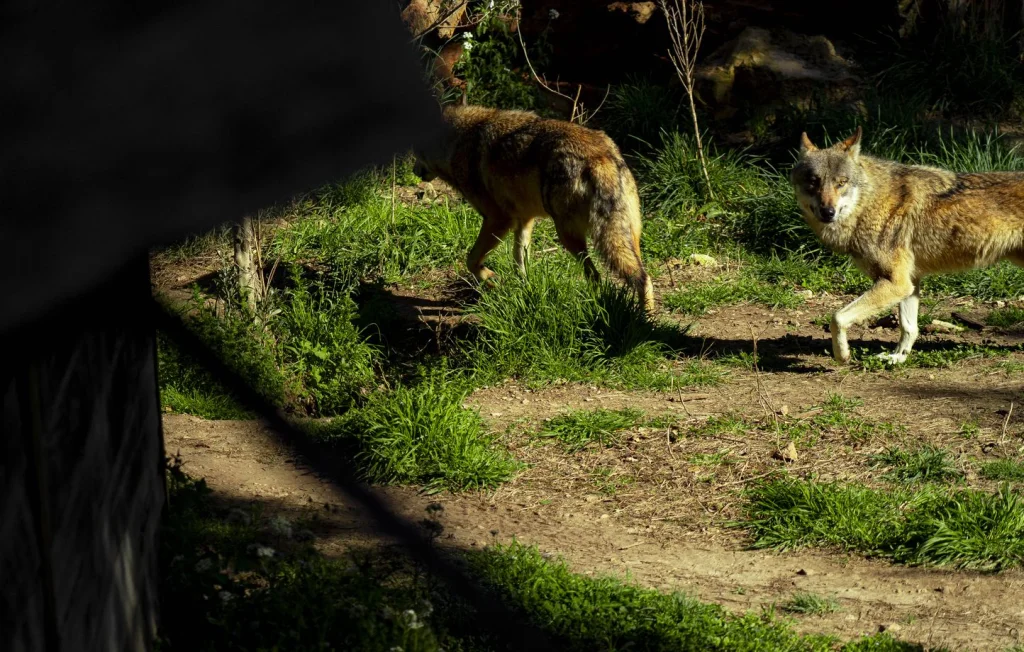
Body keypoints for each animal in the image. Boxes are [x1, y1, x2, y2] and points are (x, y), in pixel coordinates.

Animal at [411, 103, 657, 314]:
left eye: (416, 153)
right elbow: (519, 260)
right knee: (641, 276)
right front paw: (522, 289)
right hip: (628, 237)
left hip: (570, 238)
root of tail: (601, 158)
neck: (457, 142)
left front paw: (492, 279)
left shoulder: (498, 220)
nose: (413, 171)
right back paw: (642, 318)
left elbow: (471, 260)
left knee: (601, 277)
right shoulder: (524, 220)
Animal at [790, 126, 1024, 365]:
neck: (870, 202)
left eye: (841, 182)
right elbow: (909, 327)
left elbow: (837, 317)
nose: (828, 212)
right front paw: (898, 358)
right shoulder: (909, 283)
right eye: (813, 182)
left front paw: (842, 355)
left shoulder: (896, 283)